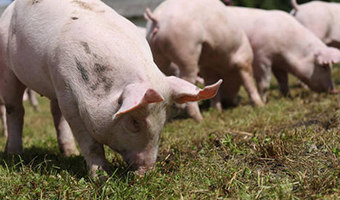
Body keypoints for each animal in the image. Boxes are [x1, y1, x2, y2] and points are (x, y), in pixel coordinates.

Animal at [0, 0, 220, 178]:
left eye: (164, 119)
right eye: (135, 122)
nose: (146, 172)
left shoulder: (60, 84)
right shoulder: (68, 93)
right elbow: (89, 141)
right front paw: (102, 177)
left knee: (55, 112)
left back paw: (69, 153)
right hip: (8, 69)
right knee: (15, 109)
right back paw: (14, 154)